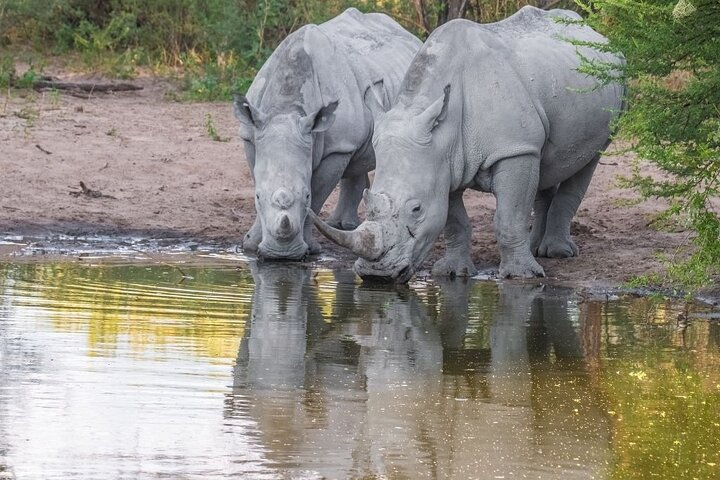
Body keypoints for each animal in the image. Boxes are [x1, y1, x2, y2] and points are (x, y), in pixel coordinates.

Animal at [234, 8, 420, 260]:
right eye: (257, 197)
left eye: (305, 197)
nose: (282, 255)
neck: (286, 107)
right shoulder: (252, 134)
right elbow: (258, 178)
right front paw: (251, 245)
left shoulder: (337, 148)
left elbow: (318, 193)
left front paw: (310, 249)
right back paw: (342, 226)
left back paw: (345, 226)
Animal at [311, 7, 625, 282]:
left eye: (416, 209)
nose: (376, 276)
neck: (443, 132)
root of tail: (596, 33)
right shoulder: (442, 162)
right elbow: (454, 222)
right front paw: (451, 273)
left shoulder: (513, 149)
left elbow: (508, 217)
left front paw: (521, 276)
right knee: (545, 166)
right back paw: (537, 249)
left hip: (610, 97)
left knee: (588, 160)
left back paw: (557, 254)